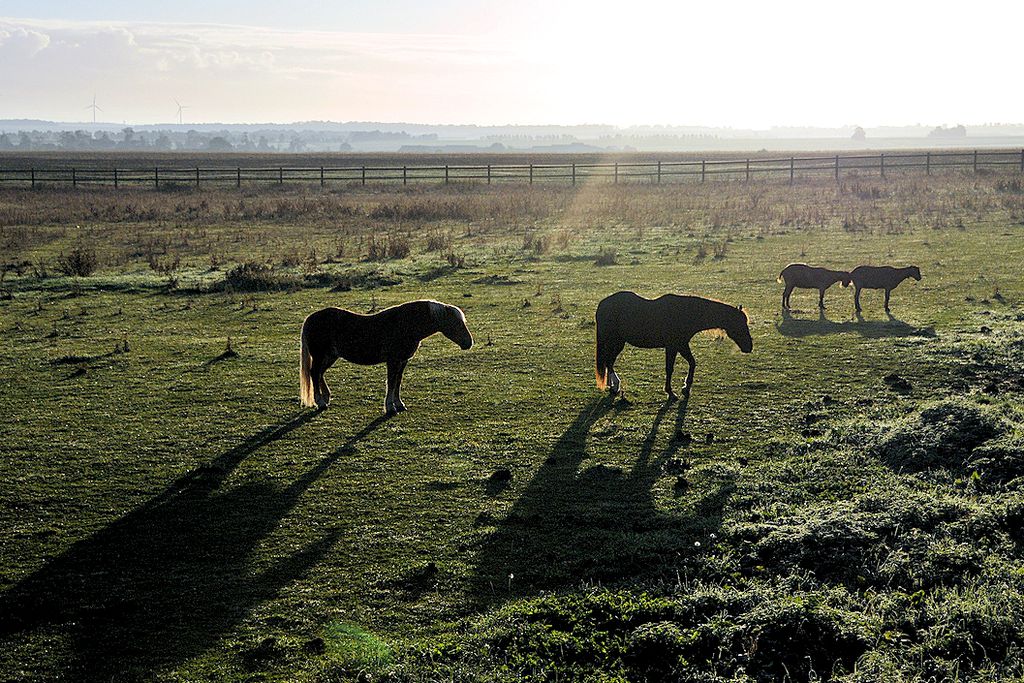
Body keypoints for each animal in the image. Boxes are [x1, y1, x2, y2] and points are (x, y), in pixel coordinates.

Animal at [296, 301, 471, 417]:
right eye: (455, 323)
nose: (469, 343)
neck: (406, 324)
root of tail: (310, 318)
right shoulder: (393, 360)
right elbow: (391, 382)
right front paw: (390, 407)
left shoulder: (402, 361)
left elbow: (398, 382)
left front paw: (399, 404)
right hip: (320, 356)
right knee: (314, 373)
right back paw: (320, 402)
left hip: (330, 356)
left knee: (319, 373)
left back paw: (326, 397)